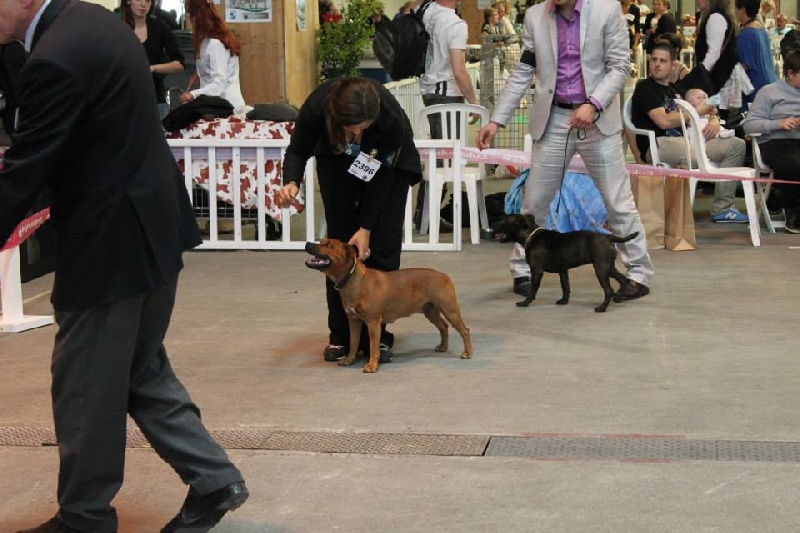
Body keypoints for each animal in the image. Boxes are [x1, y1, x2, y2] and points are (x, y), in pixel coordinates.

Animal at [304, 239, 473, 373]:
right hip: (430, 310)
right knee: (443, 327)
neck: (353, 279)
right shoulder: (354, 320)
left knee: (464, 330)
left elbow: (373, 347)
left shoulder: (373, 323)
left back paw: (468, 353)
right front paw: (348, 359)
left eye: (329, 245)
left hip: (450, 310)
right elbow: (353, 342)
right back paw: (443, 347)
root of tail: (444, 275)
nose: (307, 243)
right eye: (321, 241)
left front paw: (372, 366)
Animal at [494, 214, 637, 312]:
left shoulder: (536, 270)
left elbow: (533, 289)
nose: (493, 226)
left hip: (601, 269)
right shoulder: (563, 271)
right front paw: (564, 301)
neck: (531, 234)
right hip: (609, 267)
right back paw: (618, 298)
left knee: (609, 289)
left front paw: (525, 302)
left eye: (503, 221)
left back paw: (602, 308)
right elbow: (565, 287)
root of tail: (608, 237)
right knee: (623, 280)